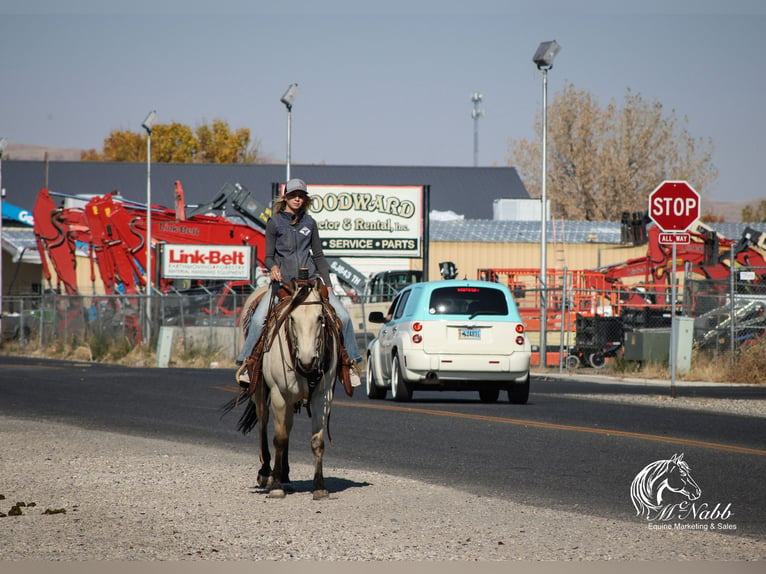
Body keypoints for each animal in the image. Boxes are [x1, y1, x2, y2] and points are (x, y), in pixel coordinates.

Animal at [222, 278, 342, 500]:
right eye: (292, 319)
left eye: (320, 317)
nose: (307, 360)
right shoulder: (279, 394)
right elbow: (279, 438)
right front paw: (276, 485)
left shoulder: (322, 396)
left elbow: (317, 441)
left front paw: (319, 486)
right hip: (260, 390)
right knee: (264, 420)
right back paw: (267, 474)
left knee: (287, 425)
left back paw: (285, 476)